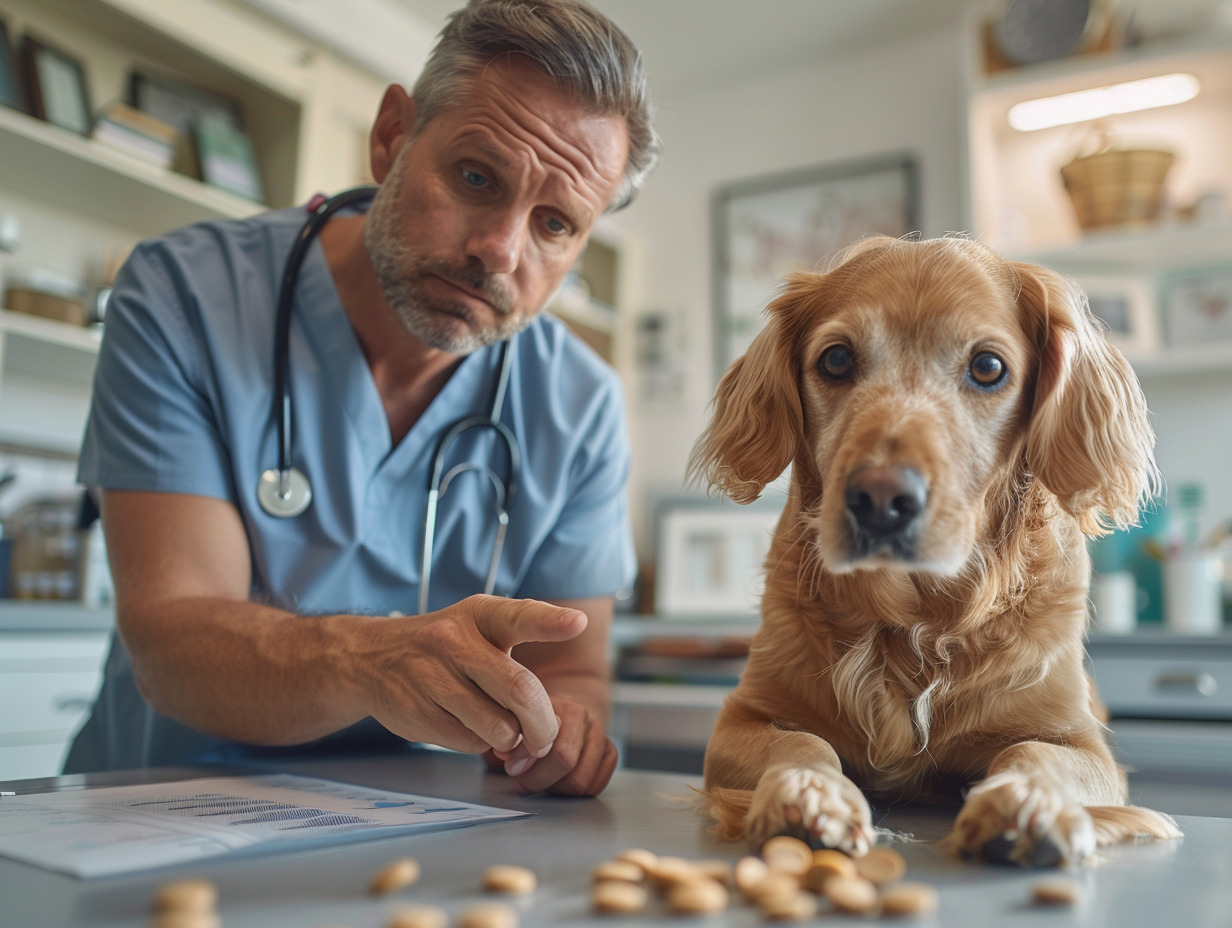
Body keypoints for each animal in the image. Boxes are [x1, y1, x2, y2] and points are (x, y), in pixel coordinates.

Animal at [689, 235, 1177, 867]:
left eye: (988, 367)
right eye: (836, 360)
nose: (880, 500)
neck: (912, 617)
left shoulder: (1082, 743)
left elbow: (1034, 753)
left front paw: (1026, 802)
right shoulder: (742, 717)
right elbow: (800, 742)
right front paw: (809, 793)